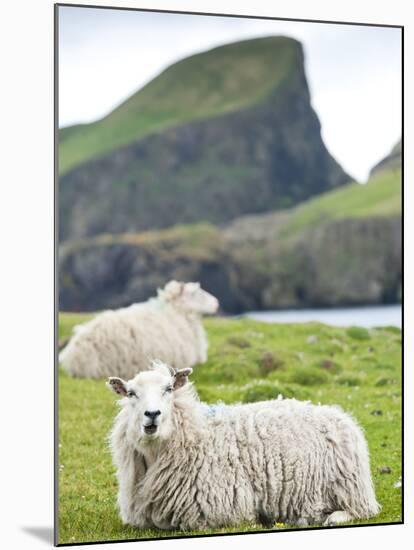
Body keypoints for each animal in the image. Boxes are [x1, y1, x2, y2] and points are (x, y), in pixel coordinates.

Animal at [107, 362, 382, 536]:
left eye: (169, 389)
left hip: (349, 488)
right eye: (131, 393)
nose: (152, 414)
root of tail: (340, 415)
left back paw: (329, 518)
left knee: (362, 511)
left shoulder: (221, 511)